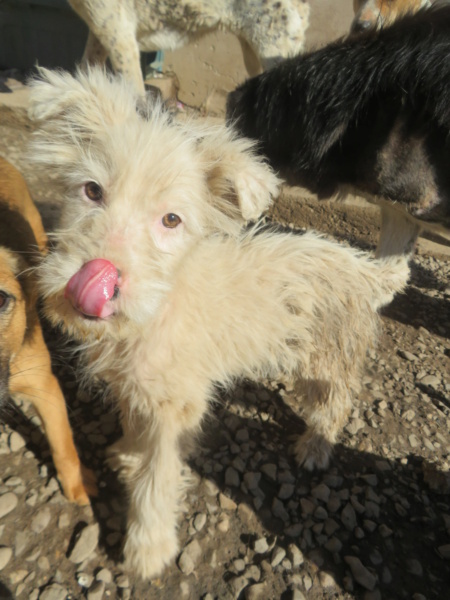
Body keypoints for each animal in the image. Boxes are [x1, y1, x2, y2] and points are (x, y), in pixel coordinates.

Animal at [27, 68, 408, 580]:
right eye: (91, 190)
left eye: (171, 220)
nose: (96, 278)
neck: (157, 310)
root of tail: (363, 267)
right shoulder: (139, 388)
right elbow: (135, 427)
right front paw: (127, 453)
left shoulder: (174, 408)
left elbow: (158, 478)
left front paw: (148, 548)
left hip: (327, 360)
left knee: (337, 401)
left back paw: (315, 447)